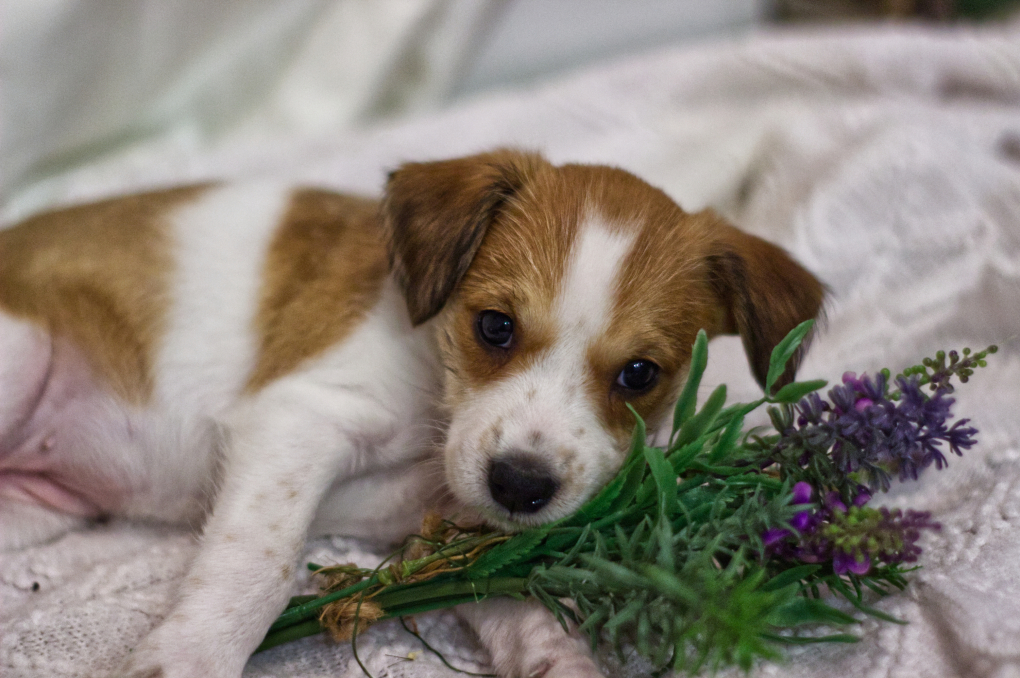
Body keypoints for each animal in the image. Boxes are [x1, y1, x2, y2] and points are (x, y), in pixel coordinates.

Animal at [0, 151, 820, 676]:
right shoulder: (303, 414)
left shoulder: (456, 532)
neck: (436, 403)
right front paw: (187, 658)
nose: (521, 487)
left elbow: (516, 604)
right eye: (495, 326)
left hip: (33, 509)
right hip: (22, 353)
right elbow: (258, 564)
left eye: (640, 374)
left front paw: (562, 662)